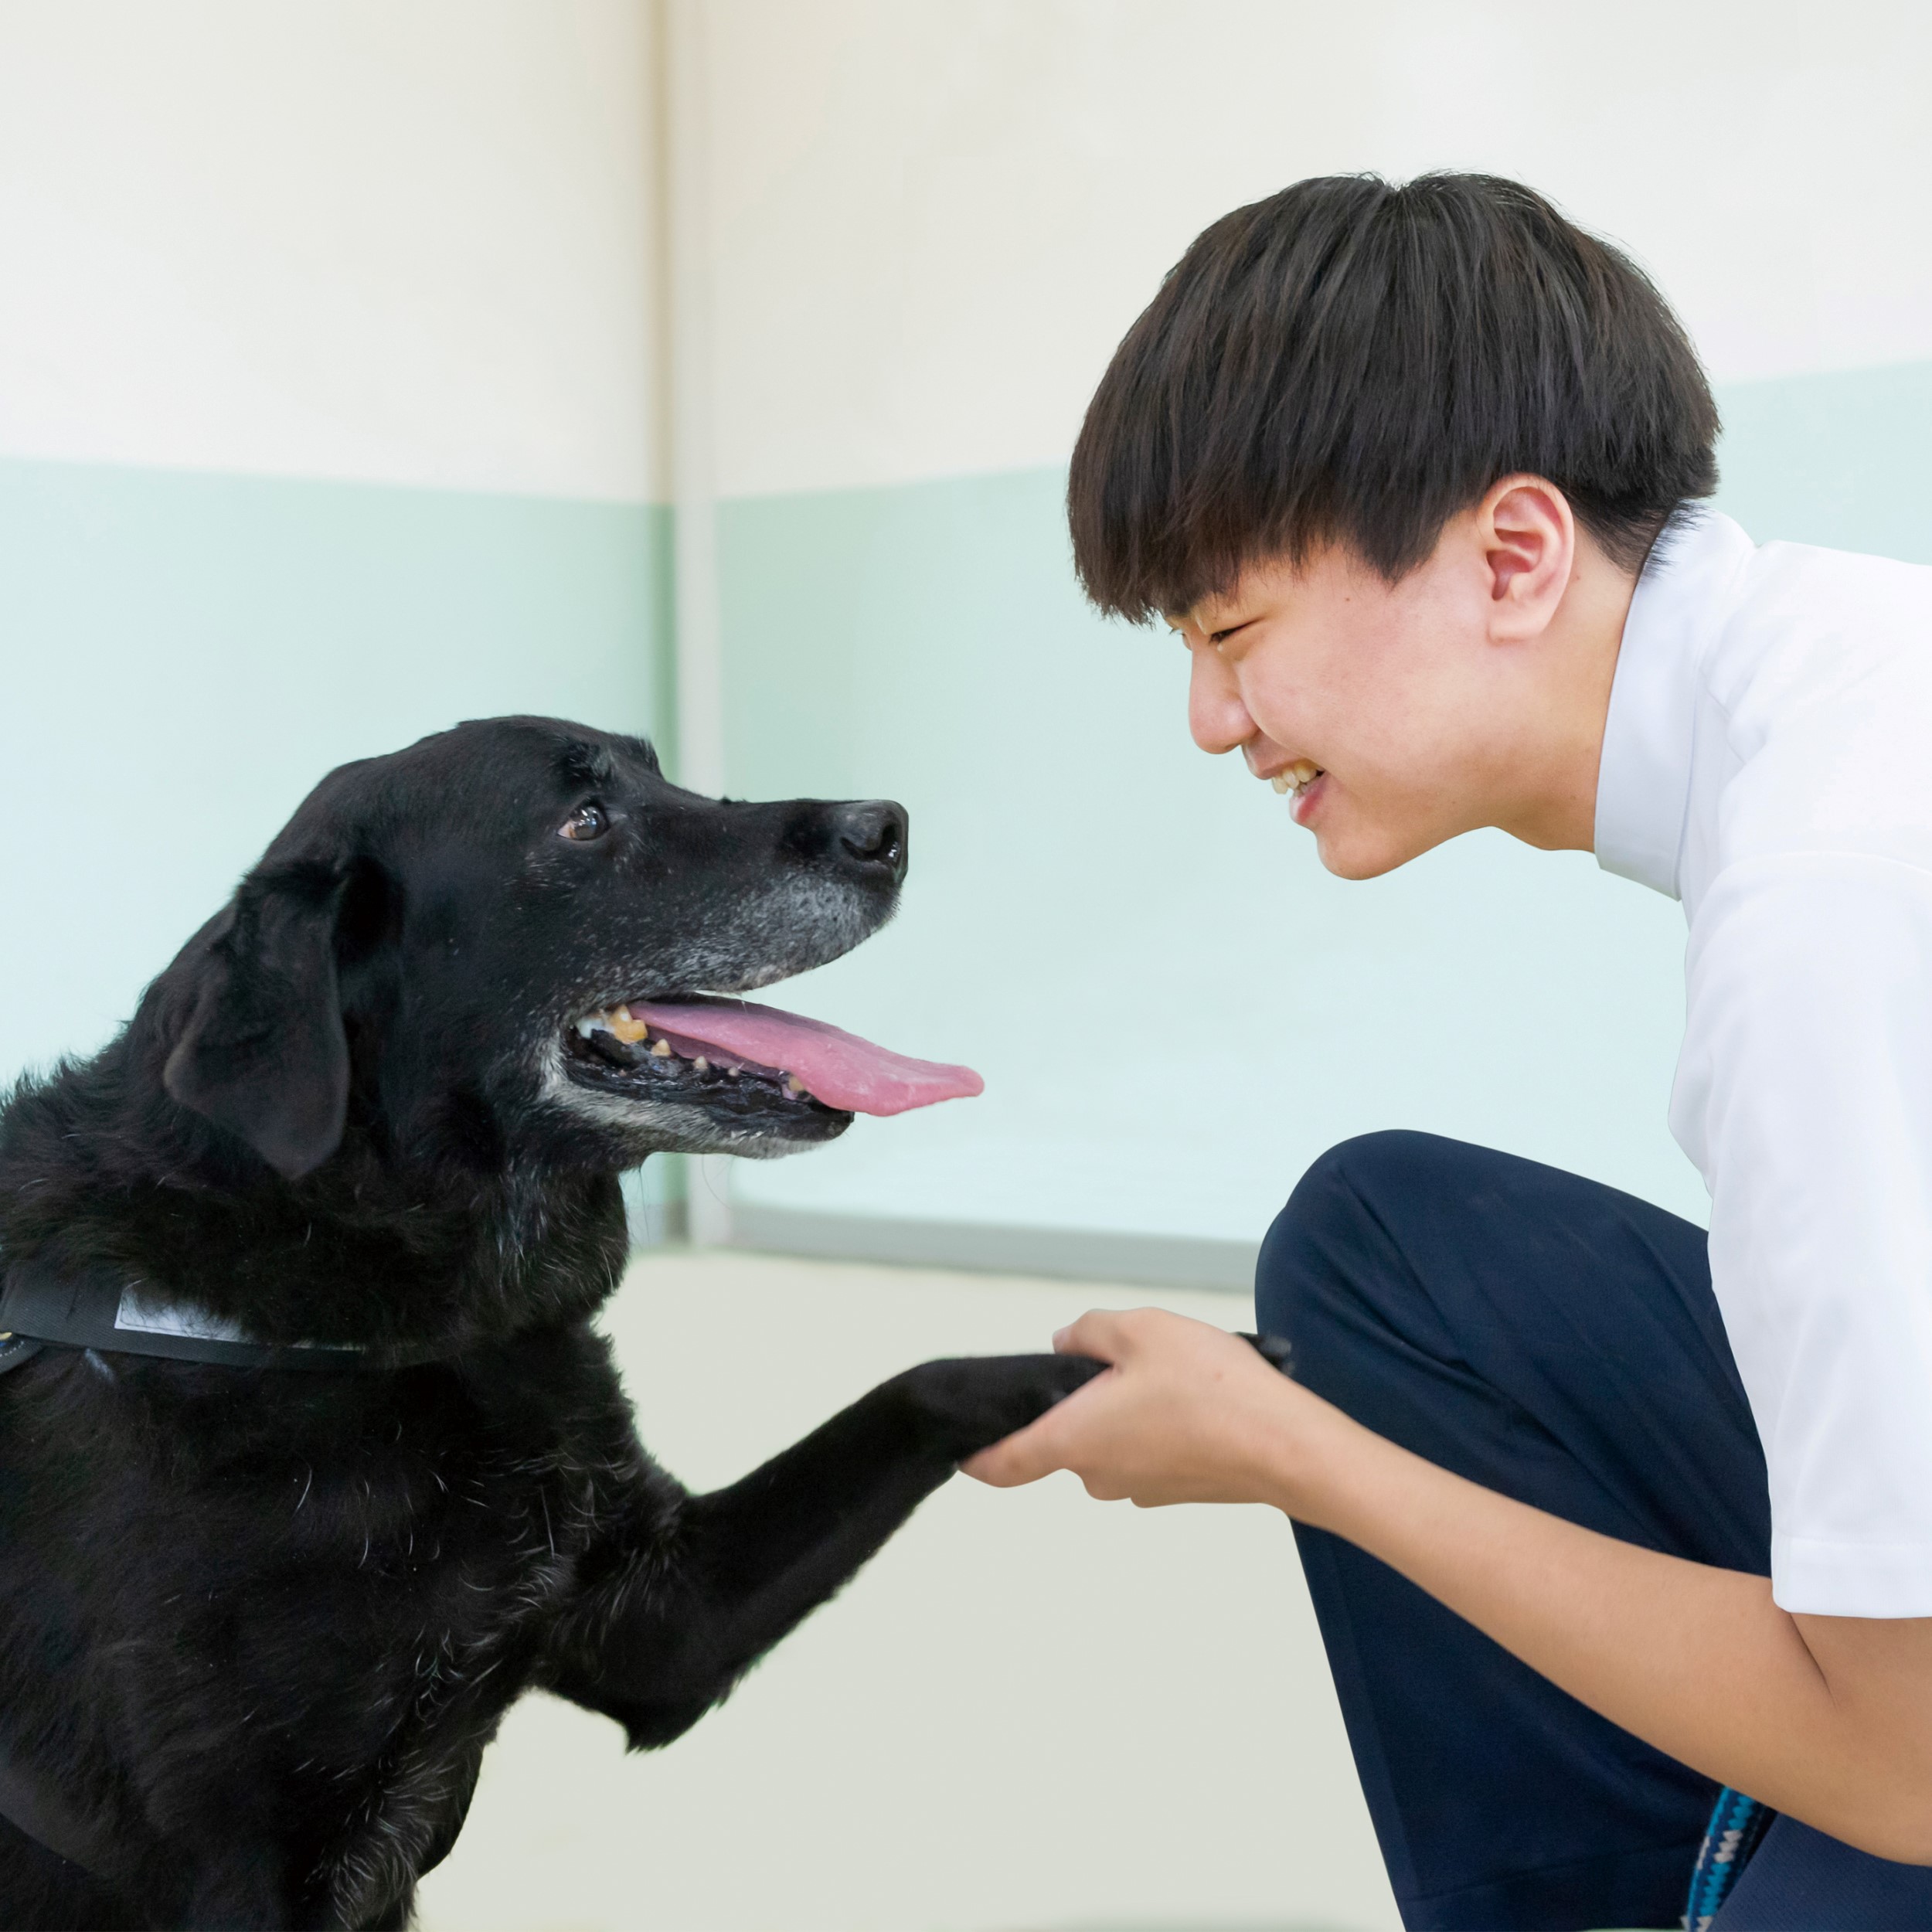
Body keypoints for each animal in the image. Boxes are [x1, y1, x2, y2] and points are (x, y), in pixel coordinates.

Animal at [0, 719, 1105, 1924]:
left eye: (660, 773)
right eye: (583, 822)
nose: (887, 828)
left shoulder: (659, 1620)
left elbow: (929, 1380)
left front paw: (1149, 1380)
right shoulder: (236, 1871)